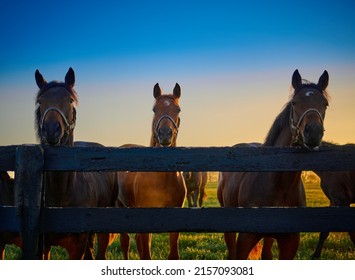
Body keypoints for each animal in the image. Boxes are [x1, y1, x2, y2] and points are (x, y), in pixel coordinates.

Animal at [118, 83, 188, 260]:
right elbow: (146, 254)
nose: (165, 134)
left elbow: (173, 254)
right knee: (125, 241)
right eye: (154, 109)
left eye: (178, 109)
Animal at [217, 69, 330, 260]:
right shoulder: (245, 238)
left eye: (325, 104)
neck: (279, 184)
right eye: (294, 103)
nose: (313, 132)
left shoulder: (290, 242)